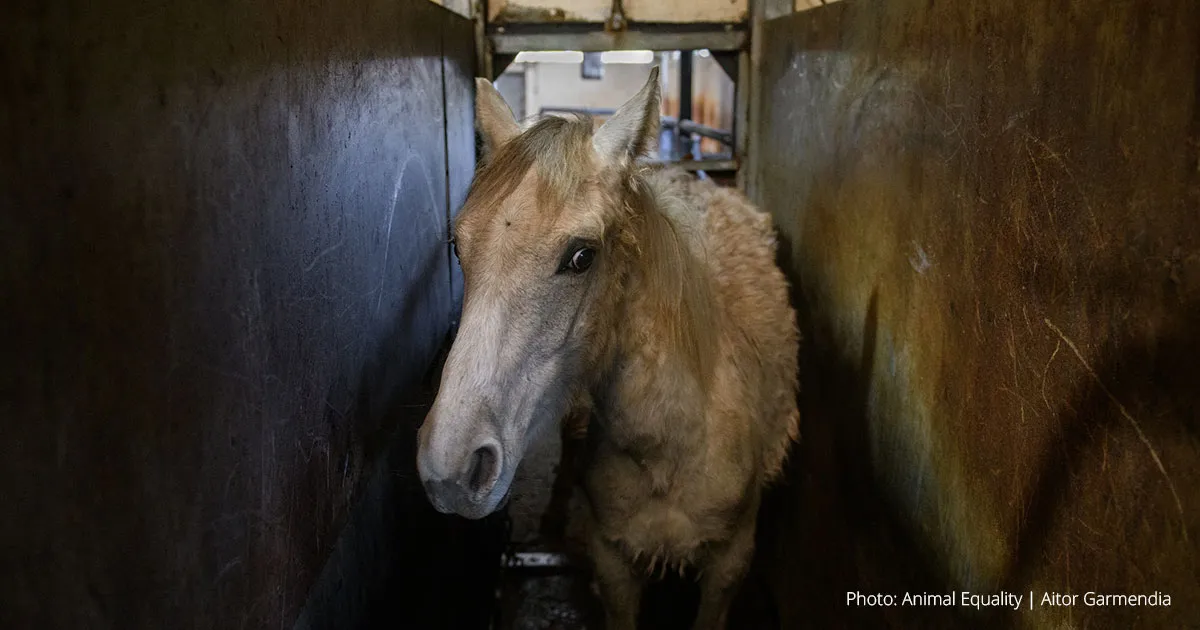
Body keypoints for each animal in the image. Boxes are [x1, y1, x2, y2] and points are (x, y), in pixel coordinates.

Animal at [416, 67, 800, 630]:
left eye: (582, 256)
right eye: (459, 248)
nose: (451, 468)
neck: (669, 448)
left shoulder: (730, 566)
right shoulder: (613, 563)